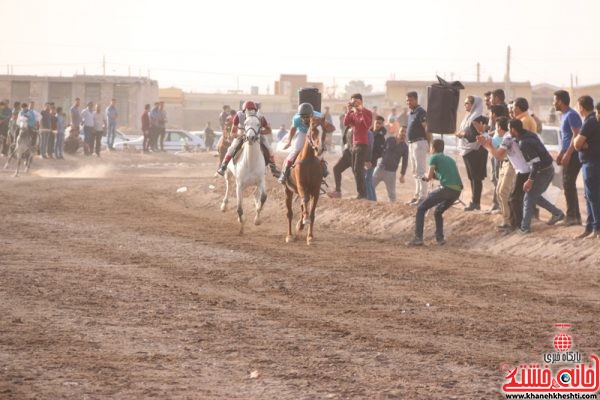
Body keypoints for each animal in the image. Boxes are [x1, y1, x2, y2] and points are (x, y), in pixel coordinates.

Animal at [284, 117, 326, 245]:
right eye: (313, 130)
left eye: (325, 130)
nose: (319, 149)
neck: (309, 160)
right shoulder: (301, 186)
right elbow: (305, 202)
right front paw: (304, 220)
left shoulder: (315, 190)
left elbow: (312, 213)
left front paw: (310, 237)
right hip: (288, 190)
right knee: (289, 213)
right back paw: (290, 235)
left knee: (303, 205)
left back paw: (300, 224)